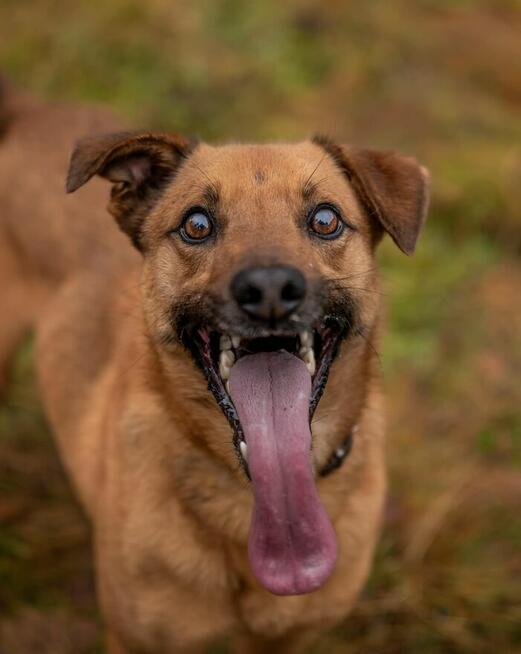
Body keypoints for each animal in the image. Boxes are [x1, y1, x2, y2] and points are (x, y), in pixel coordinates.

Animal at [0, 82, 430, 654]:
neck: (253, 499)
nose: (269, 287)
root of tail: (35, 110)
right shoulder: (134, 639)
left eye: (325, 219)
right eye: (196, 224)